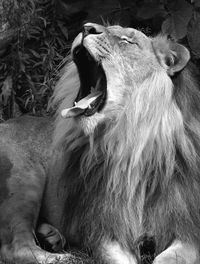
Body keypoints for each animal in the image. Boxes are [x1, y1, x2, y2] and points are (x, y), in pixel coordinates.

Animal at [0, 22, 200, 264]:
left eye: (127, 41)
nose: (87, 27)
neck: (133, 146)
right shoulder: (105, 230)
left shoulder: (187, 231)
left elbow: (168, 258)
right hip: (24, 177)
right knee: (15, 247)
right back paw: (61, 257)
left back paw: (52, 237)